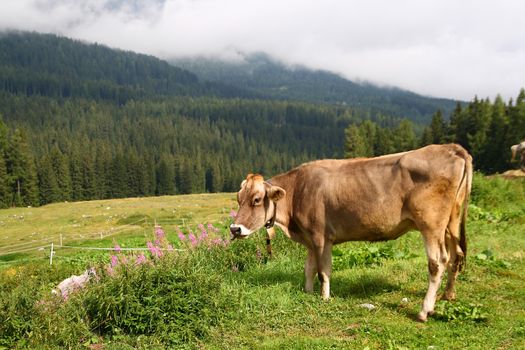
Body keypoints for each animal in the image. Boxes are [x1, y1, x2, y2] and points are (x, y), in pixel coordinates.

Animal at [229, 144, 470, 322]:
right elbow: (308, 269)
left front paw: (324, 298)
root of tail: (450, 147)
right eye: (238, 199)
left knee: (437, 262)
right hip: (451, 223)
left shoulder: (321, 237)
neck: (297, 192)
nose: (234, 228)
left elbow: (323, 271)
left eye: (256, 200)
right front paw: (307, 292)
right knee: (456, 255)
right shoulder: (309, 238)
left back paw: (424, 310)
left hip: (431, 224)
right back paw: (448, 295)